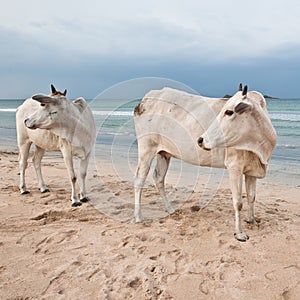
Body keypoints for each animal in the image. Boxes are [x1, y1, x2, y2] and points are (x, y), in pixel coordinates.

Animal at [134, 84, 276, 241]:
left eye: (229, 111)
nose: (201, 140)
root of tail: (145, 100)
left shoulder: (252, 170)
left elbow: (252, 197)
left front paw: (252, 220)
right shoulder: (234, 167)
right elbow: (238, 202)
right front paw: (239, 233)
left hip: (164, 153)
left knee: (159, 178)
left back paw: (171, 210)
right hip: (146, 149)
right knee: (139, 180)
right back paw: (138, 217)